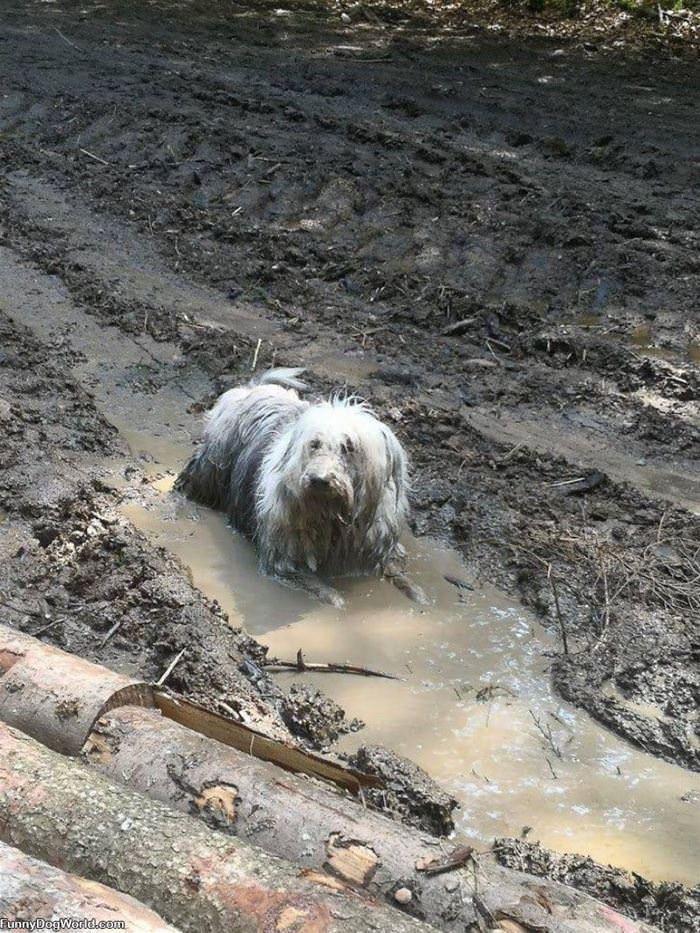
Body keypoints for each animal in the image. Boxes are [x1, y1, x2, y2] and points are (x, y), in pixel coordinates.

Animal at [175, 368, 426, 608]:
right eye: (314, 444)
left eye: (348, 447)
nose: (319, 479)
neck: (333, 517)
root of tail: (251, 388)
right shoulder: (284, 560)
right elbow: (321, 588)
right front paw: (336, 601)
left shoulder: (371, 550)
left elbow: (396, 572)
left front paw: (418, 594)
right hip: (210, 471)